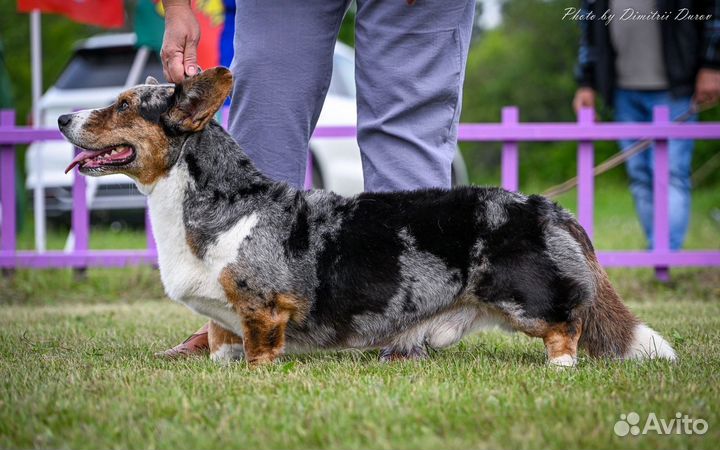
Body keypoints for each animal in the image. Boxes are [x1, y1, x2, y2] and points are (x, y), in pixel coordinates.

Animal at [57, 68, 676, 368]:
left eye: (124, 105)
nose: (62, 118)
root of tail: (553, 208)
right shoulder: (221, 314)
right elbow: (219, 339)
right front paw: (218, 367)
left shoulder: (263, 307)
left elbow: (258, 347)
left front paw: (254, 375)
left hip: (526, 295)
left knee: (566, 327)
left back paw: (560, 369)